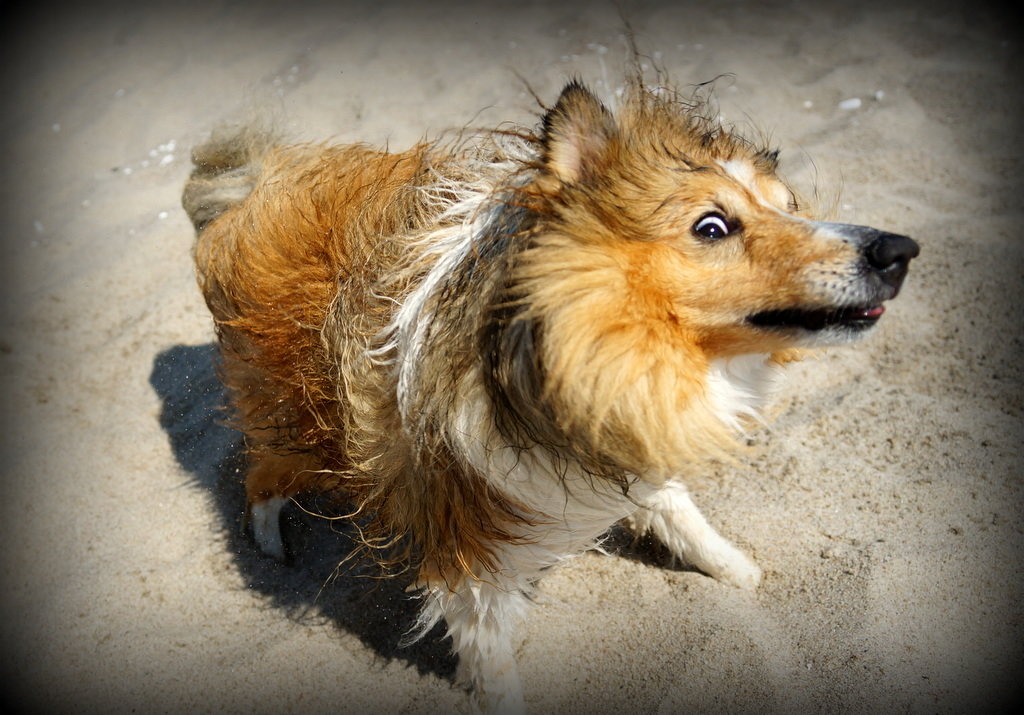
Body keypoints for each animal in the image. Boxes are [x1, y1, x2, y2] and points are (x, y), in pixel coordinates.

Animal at [182, 75, 921, 708]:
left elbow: (675, 506)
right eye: (712, 226)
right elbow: (492, 660)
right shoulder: (468, 548)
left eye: (788, 207)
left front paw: (737, 571)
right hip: (287, 419)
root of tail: (246, 188)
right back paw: (271, 548)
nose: (900, 250)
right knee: (260, 479)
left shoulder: (624, 428)